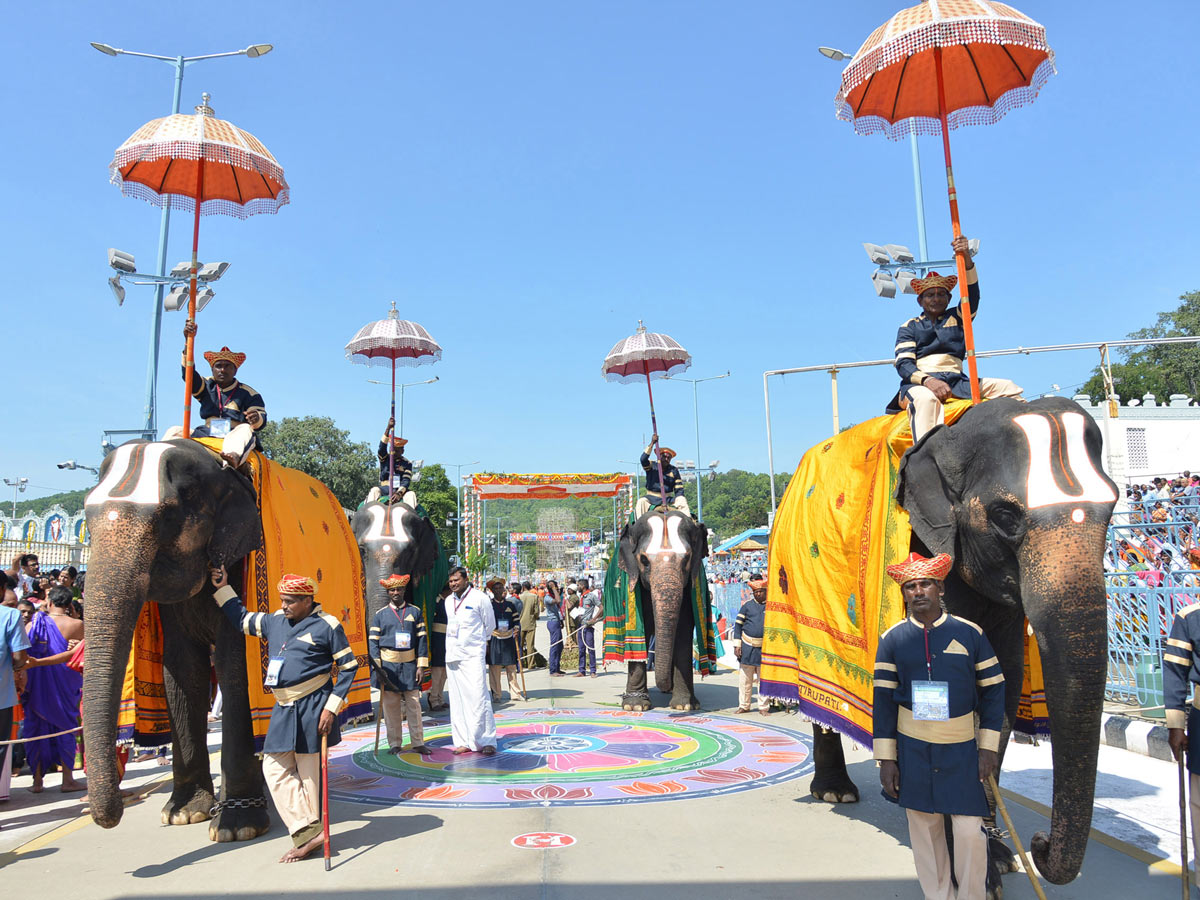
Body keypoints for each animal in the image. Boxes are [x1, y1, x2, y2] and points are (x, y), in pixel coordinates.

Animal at [83, 441, 271, 844]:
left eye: (167, 517)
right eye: (87, 518)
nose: (114, 814)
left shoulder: (241, 561)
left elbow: (234, 667)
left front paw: (238, 827)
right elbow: (182, 671)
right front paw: (183, 814)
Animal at [619, 508, 710, 710]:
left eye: (687, 558)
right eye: (644, 560)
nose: (665, 685)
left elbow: (683, 631)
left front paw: (685, 706)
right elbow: (641, 633)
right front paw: (635, 706)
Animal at [801, 400, 1118, 897]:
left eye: (1114, 508)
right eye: (1005, 517)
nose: (1039, 842)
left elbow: (998, 691)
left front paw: (998, 861)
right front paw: (980, 875)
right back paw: (836, 792)